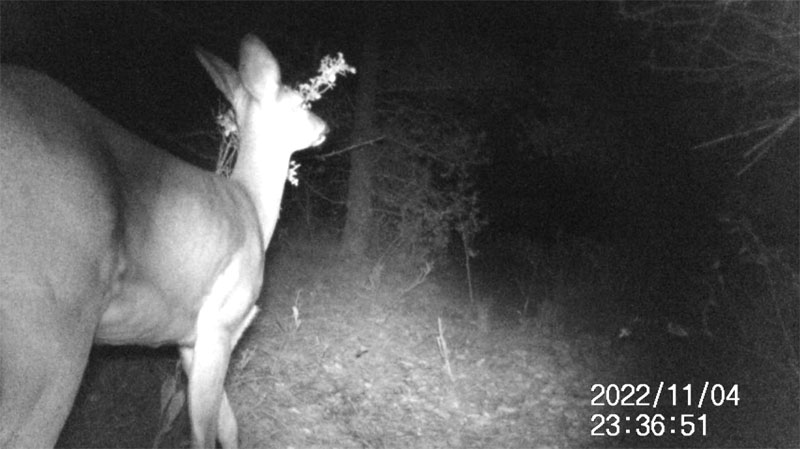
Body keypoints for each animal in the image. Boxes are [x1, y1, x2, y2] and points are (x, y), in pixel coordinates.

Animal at [0, 34, 328, 448]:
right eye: (301, 103)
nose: (324, 126)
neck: (251, 205)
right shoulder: (220, 321)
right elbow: (205, 432)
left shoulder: (189, 341)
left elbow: (229, 426)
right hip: (51, 327)